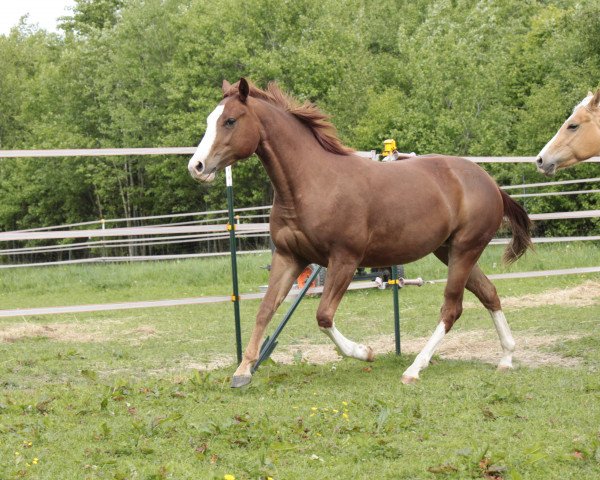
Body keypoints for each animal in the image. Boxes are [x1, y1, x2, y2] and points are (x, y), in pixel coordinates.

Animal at [188, 79, 528, 386]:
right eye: (209, 120)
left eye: (230, 120)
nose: (197, 166)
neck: (311, 184)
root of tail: (491, 184)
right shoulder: (289, 257)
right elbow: (264, 310)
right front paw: (242, 372)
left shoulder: (344, 260)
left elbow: (323, 315)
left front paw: (365, 352)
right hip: (449, 251)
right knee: (489, 294)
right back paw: (507, 359)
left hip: (464, 250)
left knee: (452, 308)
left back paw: (414, 369)